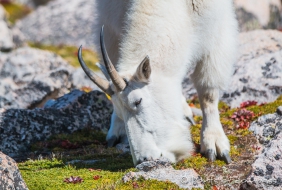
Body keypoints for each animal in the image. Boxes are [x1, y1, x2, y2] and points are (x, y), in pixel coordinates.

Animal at [77, 0, 238, 166]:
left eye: (138, 101)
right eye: (120, 112)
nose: (143, 159)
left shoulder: (217, 25)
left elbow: (208, 92)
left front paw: (214, 143)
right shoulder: (111, 14)